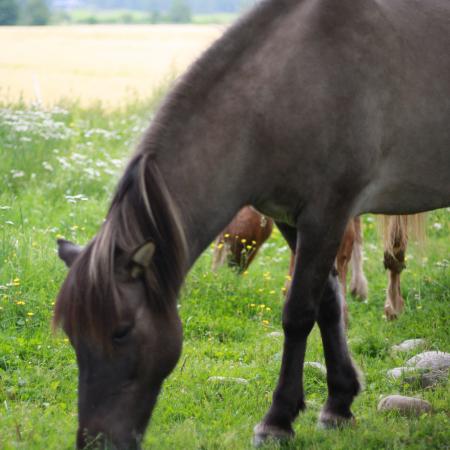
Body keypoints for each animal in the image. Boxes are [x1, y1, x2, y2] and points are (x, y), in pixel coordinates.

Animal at [54, 0, 448, 446]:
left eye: (120, 331)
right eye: (73, 335)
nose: (95, 441)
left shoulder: (328, 213)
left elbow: (299, 311)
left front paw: (277, 420)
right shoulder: (292, 219)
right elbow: (328, 303)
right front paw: (339, 404)